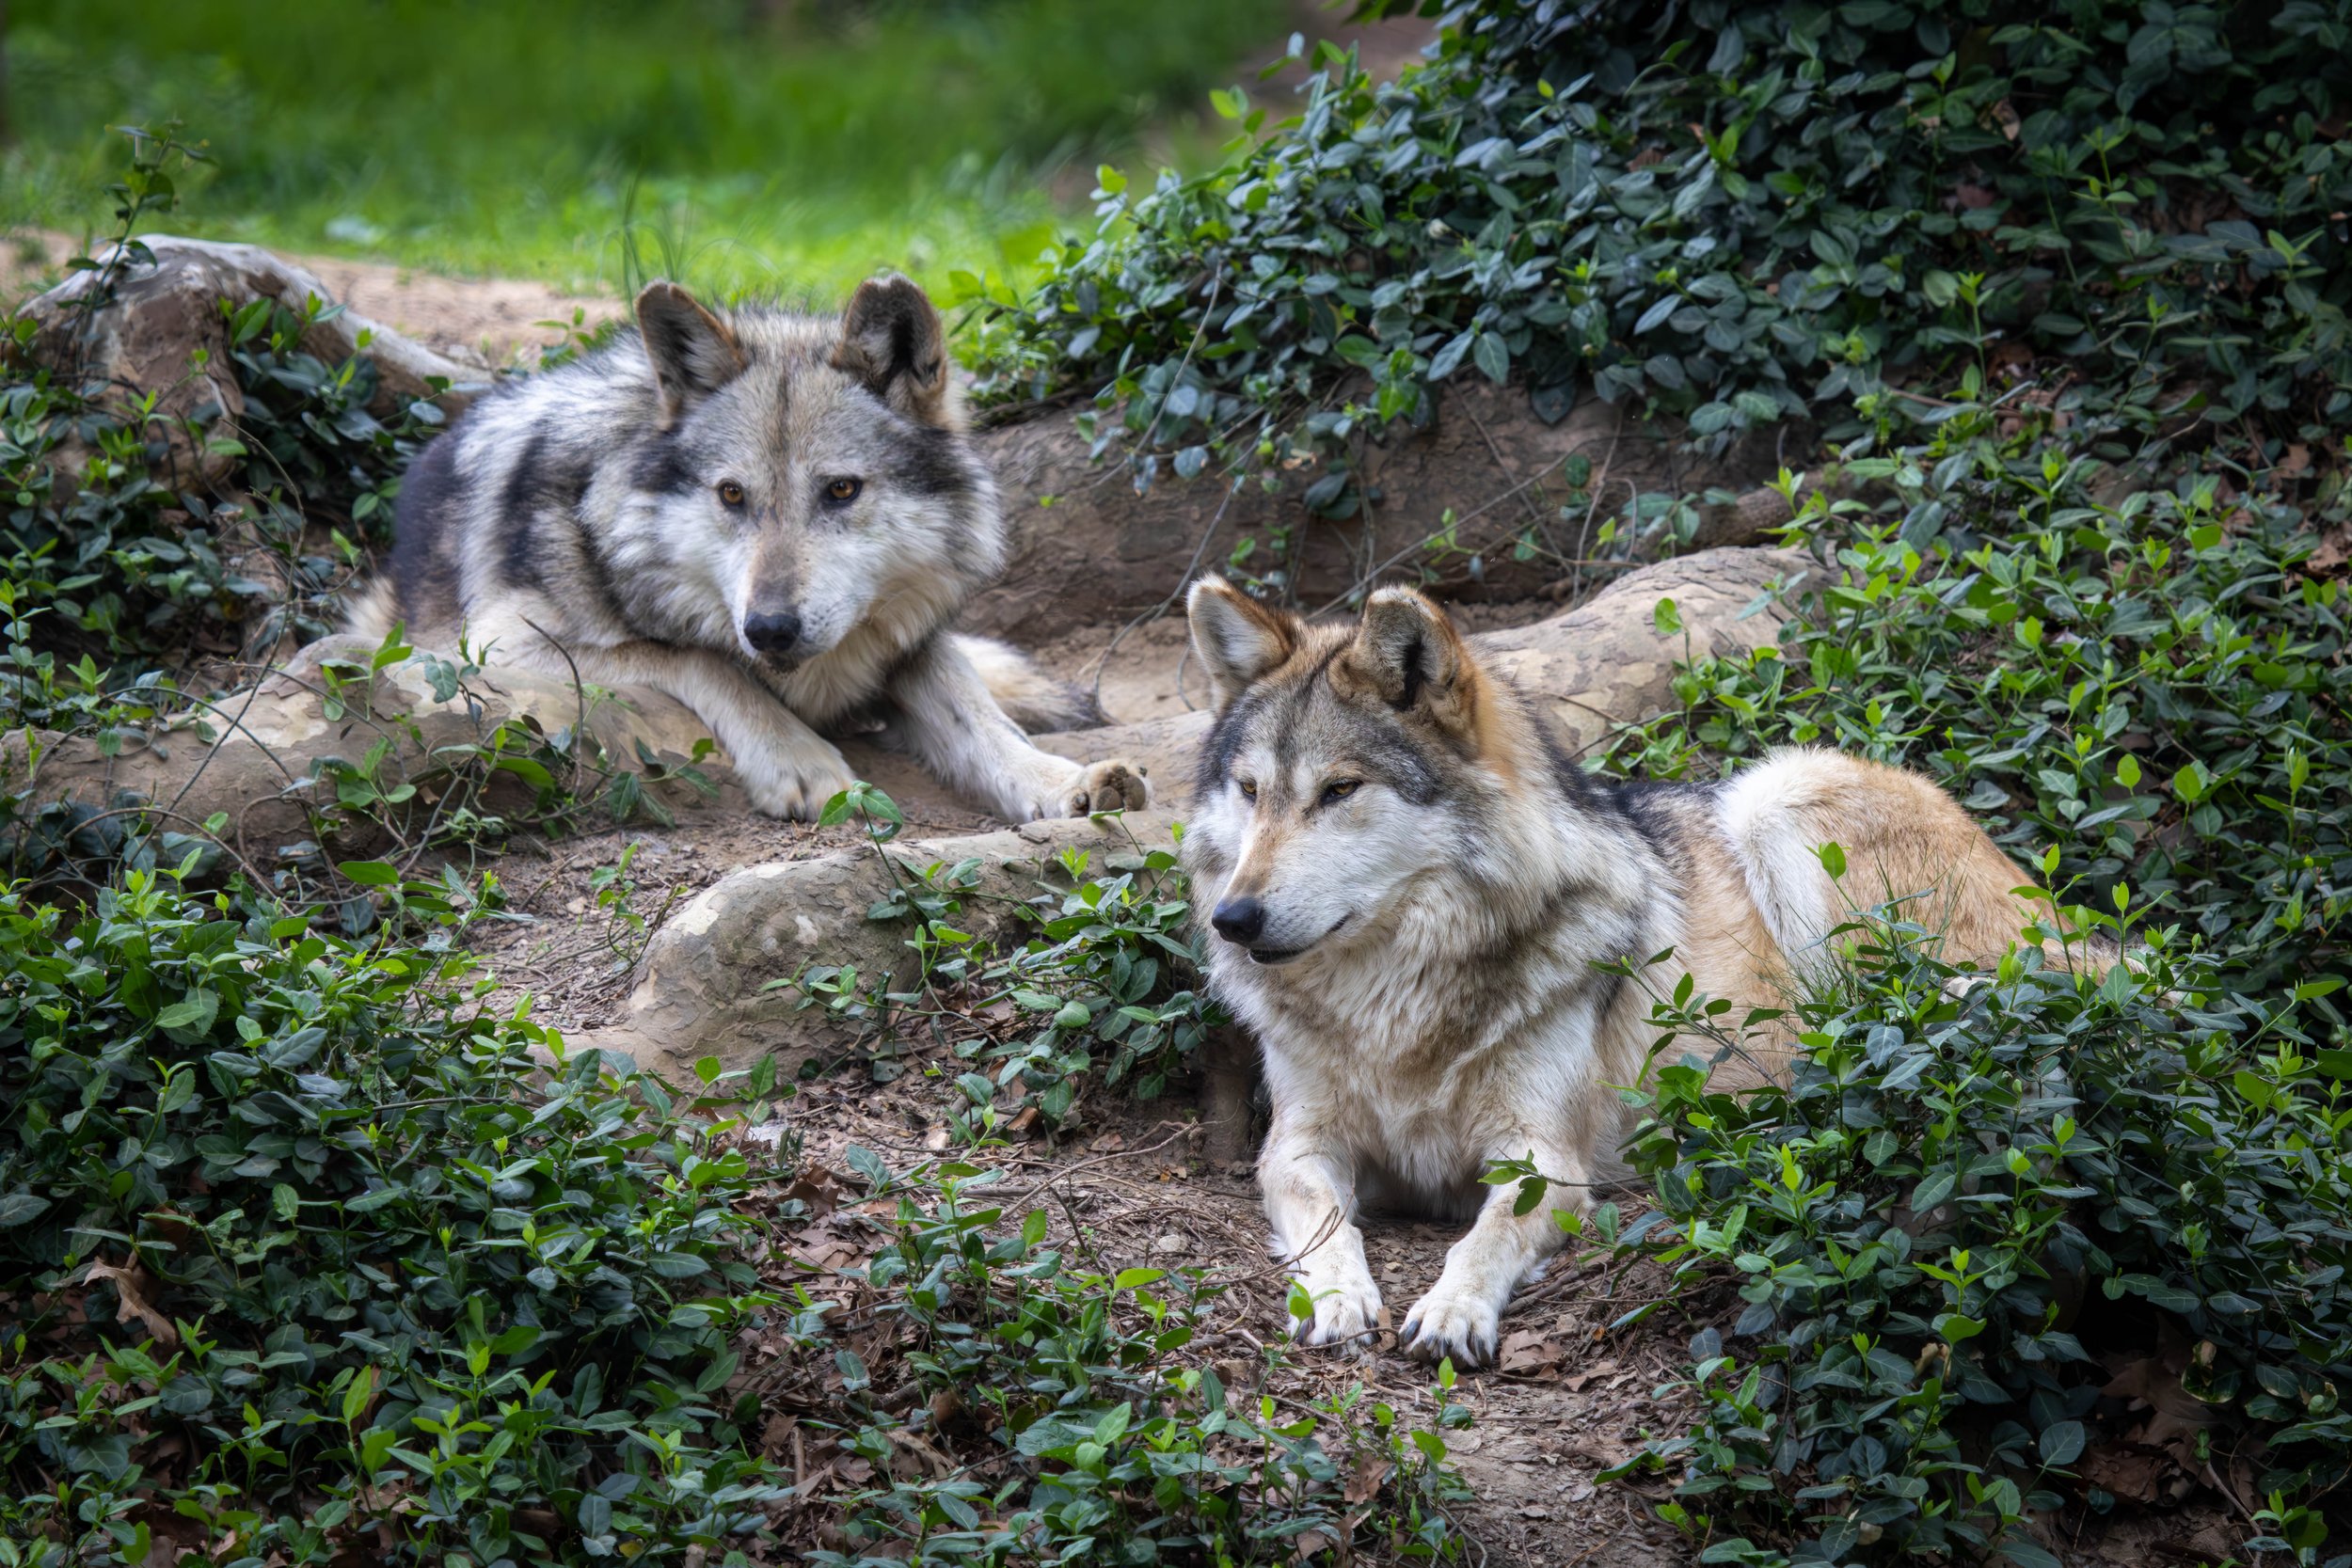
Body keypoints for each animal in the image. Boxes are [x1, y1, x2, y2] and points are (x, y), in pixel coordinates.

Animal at [344, 274, 1147, 822]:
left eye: (841, 490)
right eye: (732, 495)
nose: (770, 629)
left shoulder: (911, 639)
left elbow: (975, 712)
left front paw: (1060, 781)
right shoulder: (492, 646)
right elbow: (700, 660)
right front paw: (798, 757)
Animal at [1179, 576, 2110, 1367]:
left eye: (1340, 790)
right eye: (1251, 790)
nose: (1234, 917)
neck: (1398, 1002)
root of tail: (2068, 910)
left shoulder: (1541, 1163)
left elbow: (1481, 1237)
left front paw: (1451, 1309)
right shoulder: (1299, 1145)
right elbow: (1325, 1221)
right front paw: (1336, 1297)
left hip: (1782, 791)